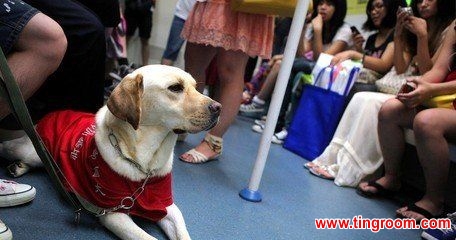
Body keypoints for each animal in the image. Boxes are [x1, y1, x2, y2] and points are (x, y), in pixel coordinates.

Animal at [0, 65, 221, 240]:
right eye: (175, 88)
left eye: (195, 87)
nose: (218, 107)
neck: (144, 166)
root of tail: (55, 112)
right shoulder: (113, 214)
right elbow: (147, 238)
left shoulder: (169, 207)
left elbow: (183, 234)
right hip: (27, 149)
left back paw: (18, 167)